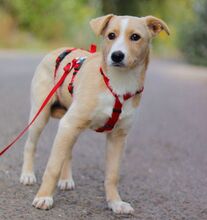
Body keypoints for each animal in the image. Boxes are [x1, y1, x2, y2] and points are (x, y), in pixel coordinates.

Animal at [19, 14, 169, 214]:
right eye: (111, 35)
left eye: (135, 37)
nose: (117, 55)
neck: (118, 84)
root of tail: (56, 51)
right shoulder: (69, 124)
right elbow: (52, 167)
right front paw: (44, 197)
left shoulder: (117, 137)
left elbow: (112, 175)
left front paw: (115, 203)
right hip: (41, 115)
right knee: (30, 144)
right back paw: (27, 174)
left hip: (70, 127)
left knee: (67, 152)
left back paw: (65, 179)